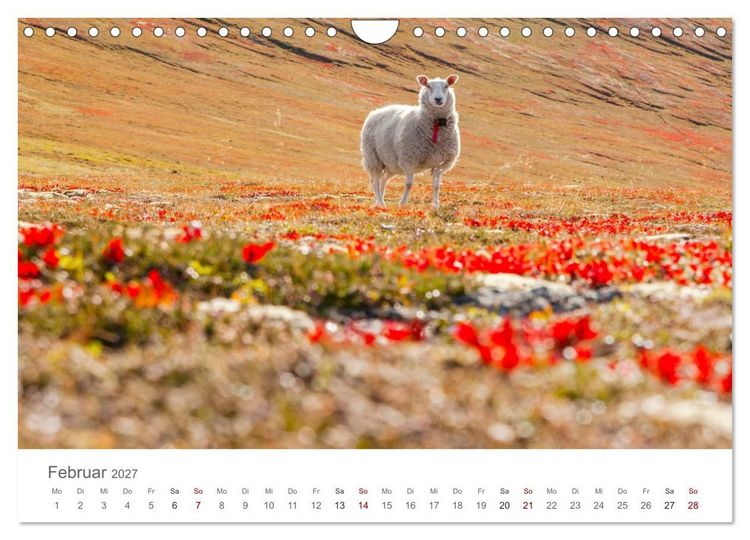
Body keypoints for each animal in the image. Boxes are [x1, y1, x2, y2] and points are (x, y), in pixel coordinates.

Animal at [360, 74, 460, 209]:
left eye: (446, 86)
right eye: (428, 86)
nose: (438, 99)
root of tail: (376, 111)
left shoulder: (445, 162)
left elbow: (436, 185)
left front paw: (435, 205)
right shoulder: (408, 160)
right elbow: (409, 184)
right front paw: (402, 203)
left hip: (392, 164)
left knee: (383, 180)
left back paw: (379, 201)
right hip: (373, 158)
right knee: (375, 181)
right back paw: (381, 203)